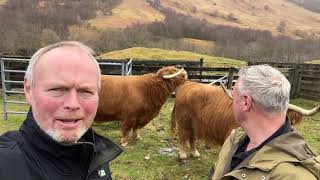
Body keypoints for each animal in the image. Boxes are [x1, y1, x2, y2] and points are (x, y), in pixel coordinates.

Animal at [172, 81, 320, 158]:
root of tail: (188, 84)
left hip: (194, 123)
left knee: (192, 137)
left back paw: (195, 152)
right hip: (183, 120)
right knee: (182, 136)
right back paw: (182, 155)